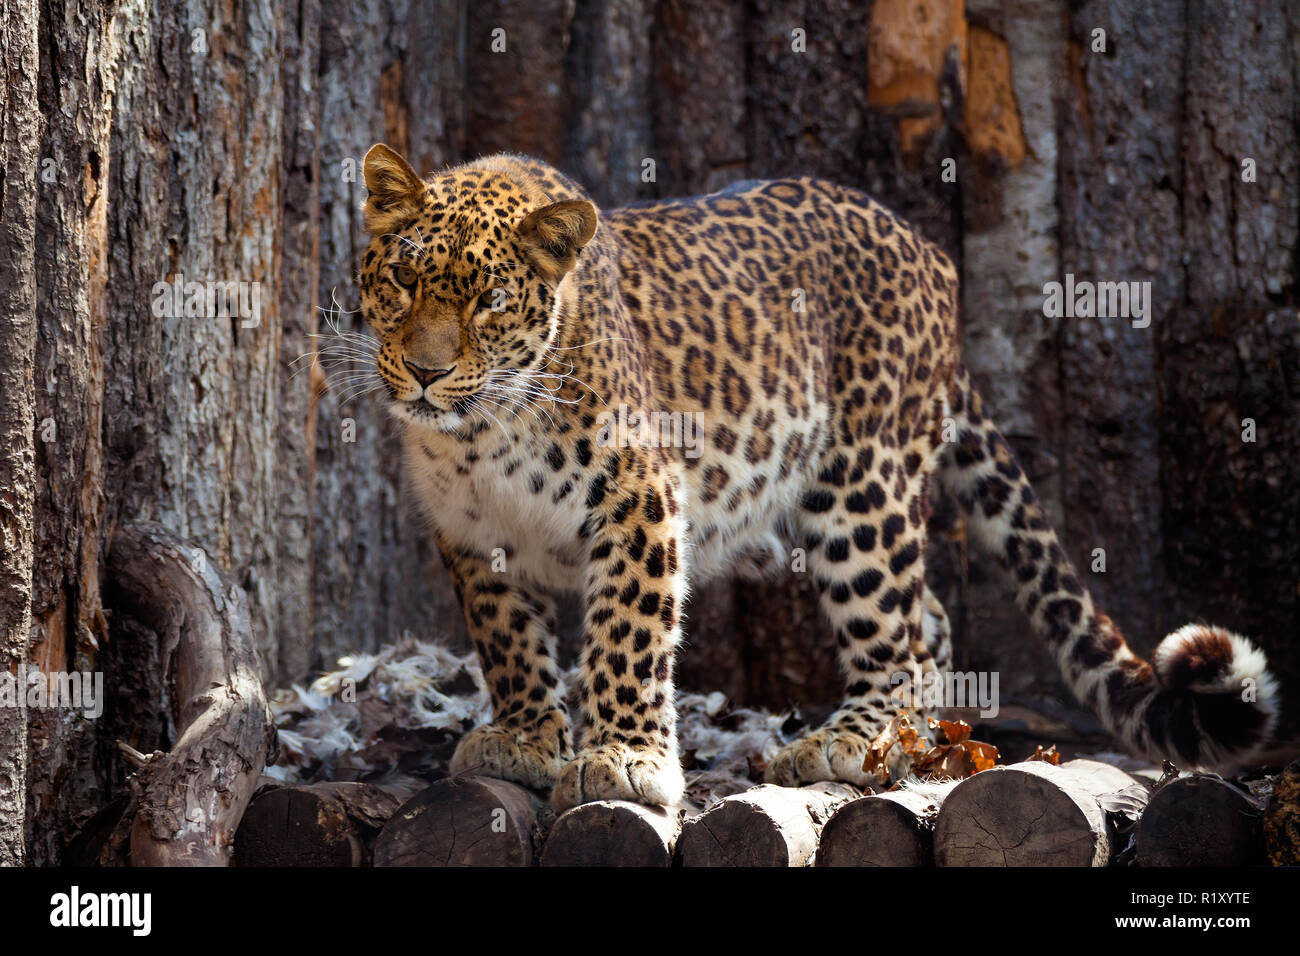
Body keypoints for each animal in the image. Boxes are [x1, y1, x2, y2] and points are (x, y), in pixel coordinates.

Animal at [356, 143, 1279, 816]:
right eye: (402, 279)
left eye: (490, 301)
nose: (428, 373)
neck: (483, 434)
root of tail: (929, 253)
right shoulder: (474, 534)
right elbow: (507, 643)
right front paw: (523, 737)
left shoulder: (639, 496)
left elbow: (628, 631)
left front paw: (623, 758)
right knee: (929, 618)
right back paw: (912, 738)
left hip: (862, 486)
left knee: (897, 631)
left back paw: (855, 740)